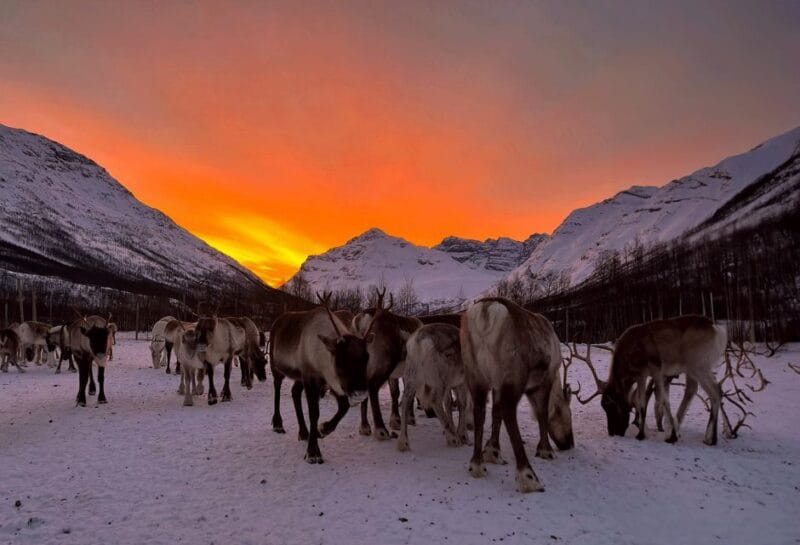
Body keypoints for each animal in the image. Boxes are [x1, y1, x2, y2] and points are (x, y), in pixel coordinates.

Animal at [268, 294, 374, 464]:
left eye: (367, 357)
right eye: (341, 361)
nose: (361, 392)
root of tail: (277, 321)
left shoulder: (331, 382)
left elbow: (344, 407)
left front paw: (323, 429)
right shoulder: (311, 378)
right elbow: (314, 413)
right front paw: (313, 452)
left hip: (299, 377)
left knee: (295, 392)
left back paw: (304, 432)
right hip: (276, 366)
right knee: (277, 388)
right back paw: (278, 424)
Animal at [461, 297, 574, 493]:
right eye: (570, 414)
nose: (569, 444)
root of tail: (486, 311)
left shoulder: (496, 384)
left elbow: (495, 412)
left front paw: (492, 450)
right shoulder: (545, 379)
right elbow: (542, 413)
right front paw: (545, 450)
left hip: (476, 374)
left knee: (480, 410)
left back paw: (477, 464)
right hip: (513, 374)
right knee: (509, 412)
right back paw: (528, 476)